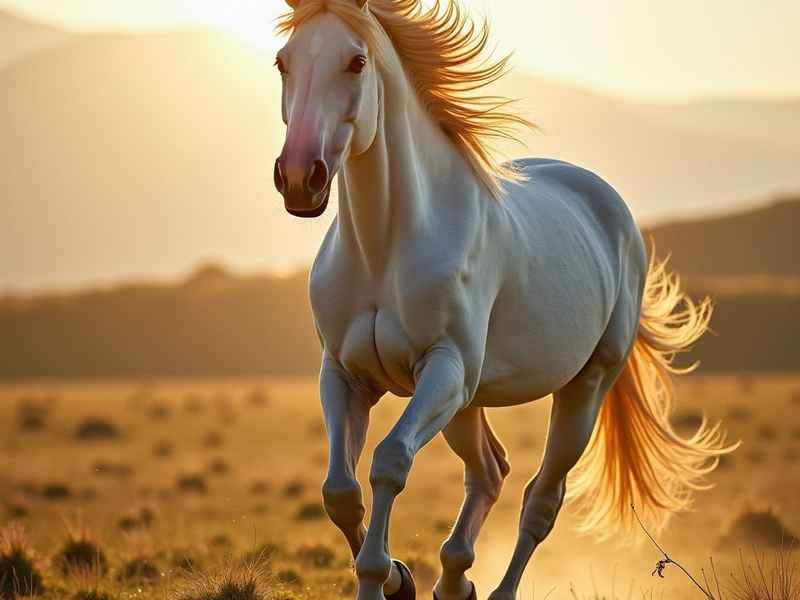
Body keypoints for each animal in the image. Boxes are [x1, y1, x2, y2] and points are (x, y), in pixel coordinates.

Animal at [271, 1, 735, 599]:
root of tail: (612, 210)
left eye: (356, 62)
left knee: (541, 499)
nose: (299, 179)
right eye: (283, 61)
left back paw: (493, 587)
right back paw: (454, 581)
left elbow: (390, 462)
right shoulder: (345, 375)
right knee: (490, 470)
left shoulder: (444, 369)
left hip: (579, 390)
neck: (384, 247)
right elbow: (340, 491)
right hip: (466, 403)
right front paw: (397, 579)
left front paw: (382, 575)